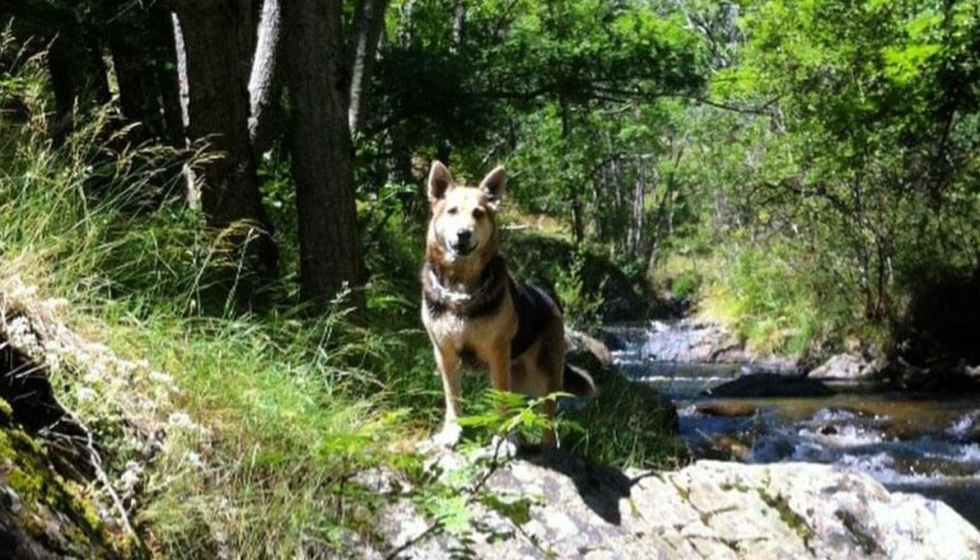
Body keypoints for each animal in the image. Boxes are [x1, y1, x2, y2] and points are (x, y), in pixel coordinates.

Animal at [420, 160, 592, 448]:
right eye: (452, 211)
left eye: (478, 213)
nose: (463, 234)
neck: (461, 290)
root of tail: (550, 301)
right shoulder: (444, 354)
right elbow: (453, 398)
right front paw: (452, 433)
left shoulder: (497, 354)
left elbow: (501, 403)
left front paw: (504, 441)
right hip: (519, 378)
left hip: (543, 377)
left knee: (548, 422)